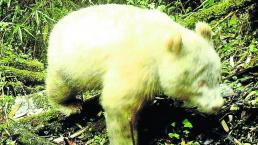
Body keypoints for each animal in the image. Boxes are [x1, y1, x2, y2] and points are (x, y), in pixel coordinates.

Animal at [46, 4, 224, 145]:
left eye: (217, 77)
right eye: (200, 82)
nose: (218, 105)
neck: (159, 40)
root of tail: (58, 24)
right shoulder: (136, 65)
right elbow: (119, 105)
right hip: (67, 62)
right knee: (61, 86)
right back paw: (70, 105)